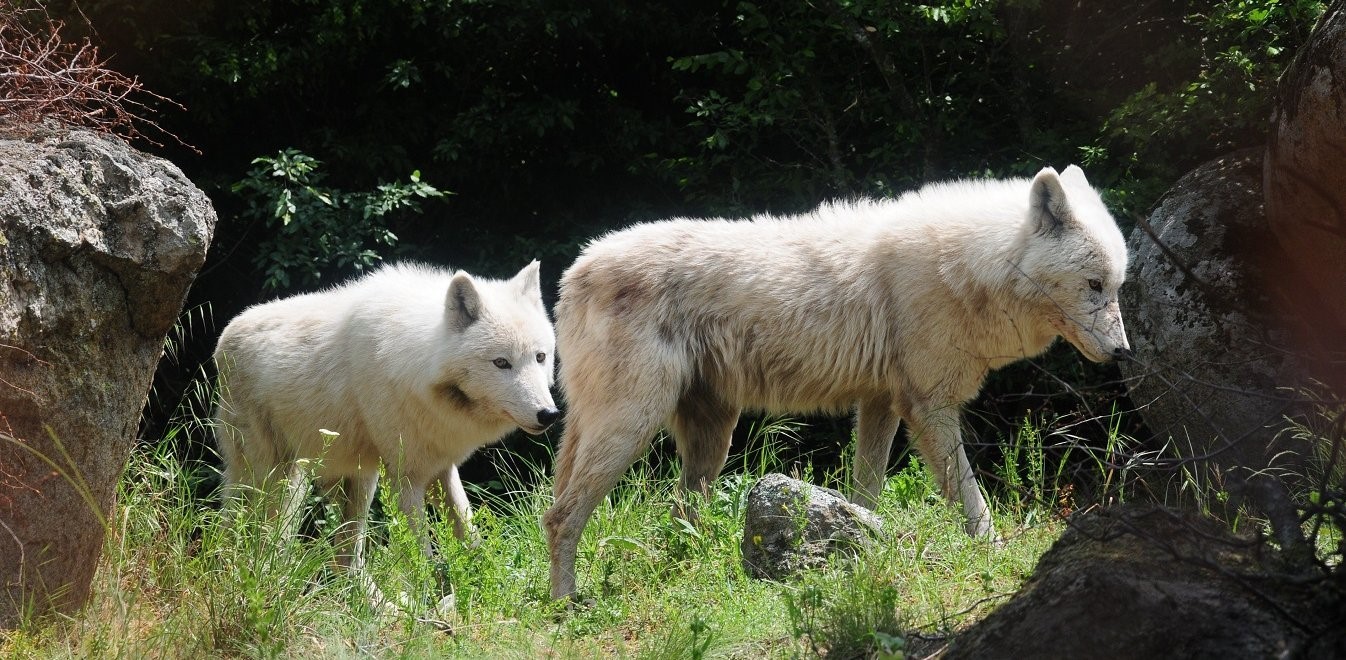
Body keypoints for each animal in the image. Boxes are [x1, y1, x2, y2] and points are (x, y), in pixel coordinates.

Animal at [214, 259, 557, 571]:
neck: (415, 362)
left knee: (345, 559)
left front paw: (487, 581)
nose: (549, 414)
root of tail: (225, 335)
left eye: (540, 357)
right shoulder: (405, 478)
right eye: (501, 363)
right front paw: (429, 597)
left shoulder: (440, 468)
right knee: (250, 534)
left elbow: (470, 535)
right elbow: (421, 559)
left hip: (354, 479)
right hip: (276, 480)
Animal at [541, 163, 1130, 598]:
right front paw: (995, 555)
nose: (1124, 352)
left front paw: (862, 543)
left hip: (708, 438)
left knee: (676, 515)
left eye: (1117, 284)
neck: (970, 265)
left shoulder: (881, 405)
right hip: (634, 426)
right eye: (1094, 284)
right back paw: (567, 604)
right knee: (560, 516)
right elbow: (971, 500)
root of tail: (573, 273)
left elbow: (866, 492)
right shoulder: (930, 407)